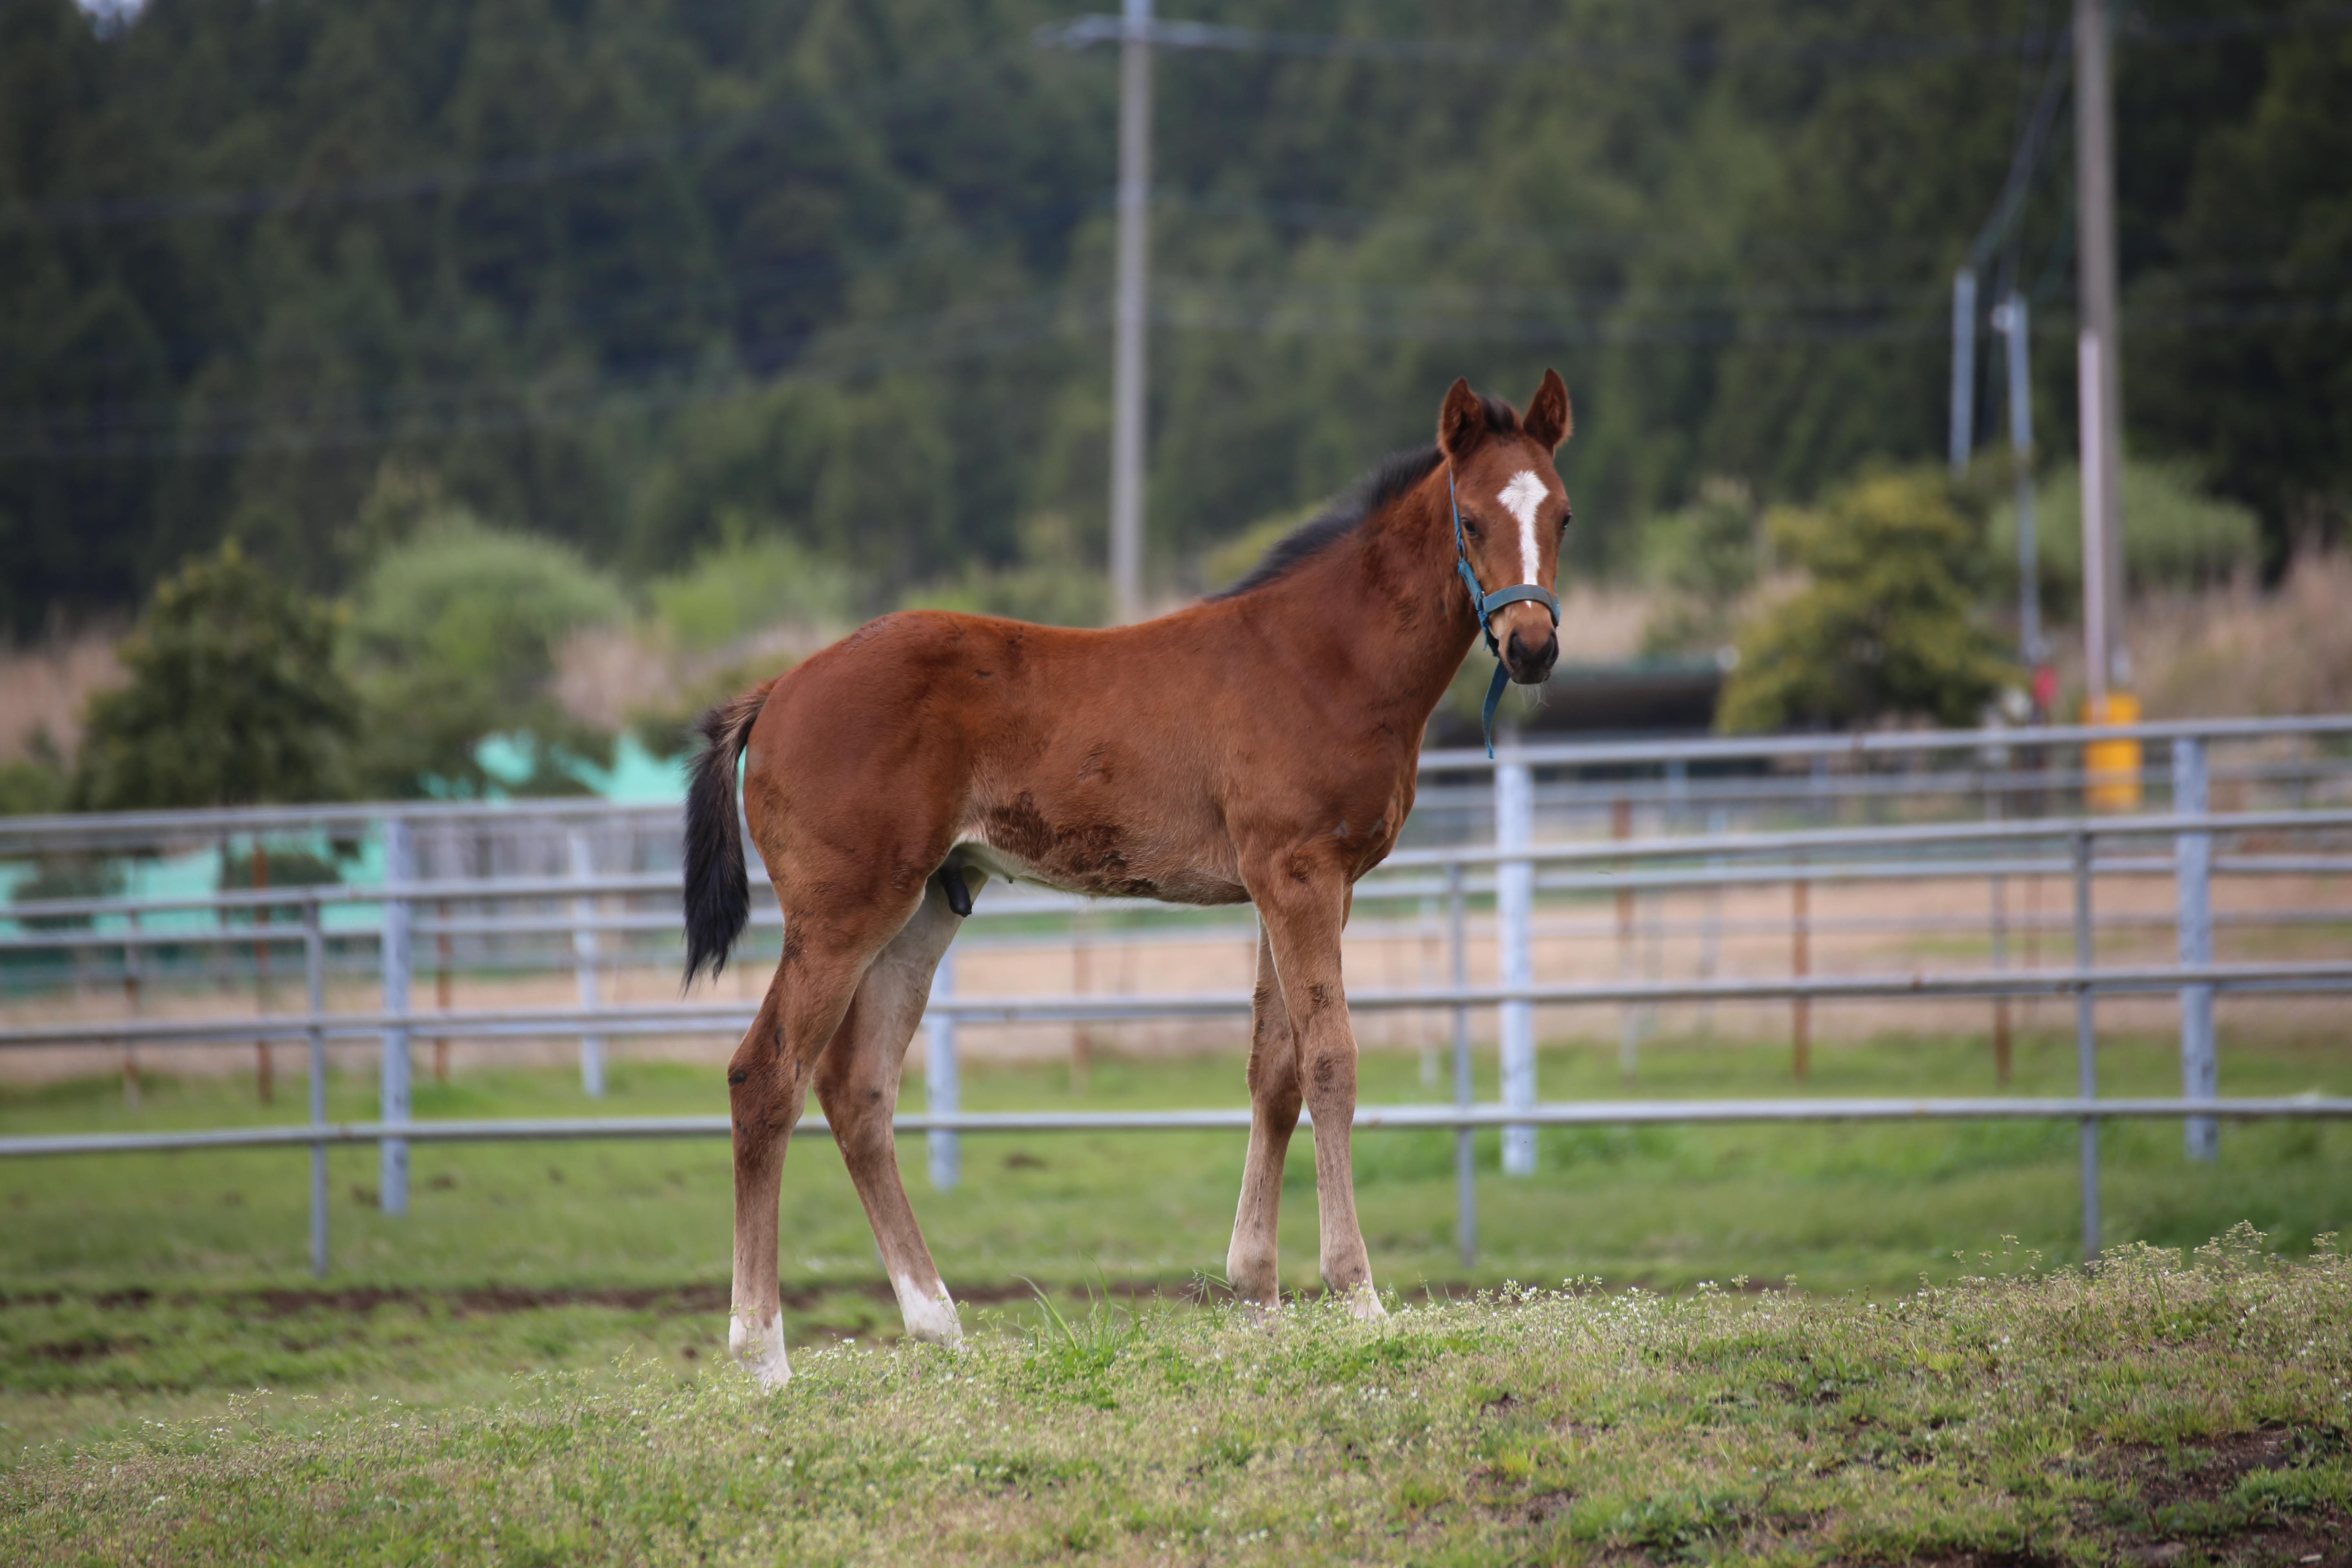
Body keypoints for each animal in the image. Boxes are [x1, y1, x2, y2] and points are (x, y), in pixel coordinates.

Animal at [686, 371, 1580, 1382]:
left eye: (1564, 515)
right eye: (1470, 519)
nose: (1533, 647)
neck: (1321, 659)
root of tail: (776, 690)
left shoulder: (1295, 886)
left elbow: (1273, 1071)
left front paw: (1257, 1293)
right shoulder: (1300, 875)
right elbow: (1330, 1061)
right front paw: (1357, 1295)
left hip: (923, 907)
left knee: (859, 1087)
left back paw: (937, 1321)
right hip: (842, 912)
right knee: (768, 1075)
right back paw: (762, 1352)